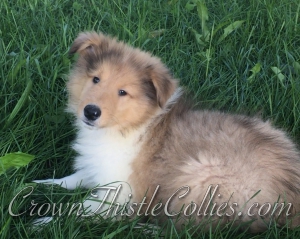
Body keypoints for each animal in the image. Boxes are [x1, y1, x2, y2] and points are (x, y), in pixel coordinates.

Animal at [35, 31, 300, 232]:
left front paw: (44, 222)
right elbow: (76, 178)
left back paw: (145, 229)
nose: (90, 112)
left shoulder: (122, 194)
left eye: (123, 92)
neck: (129, 127)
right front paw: (41, 183)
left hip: (200, 176)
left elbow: (79, 208)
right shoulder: (100, 168)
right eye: (96, 79)